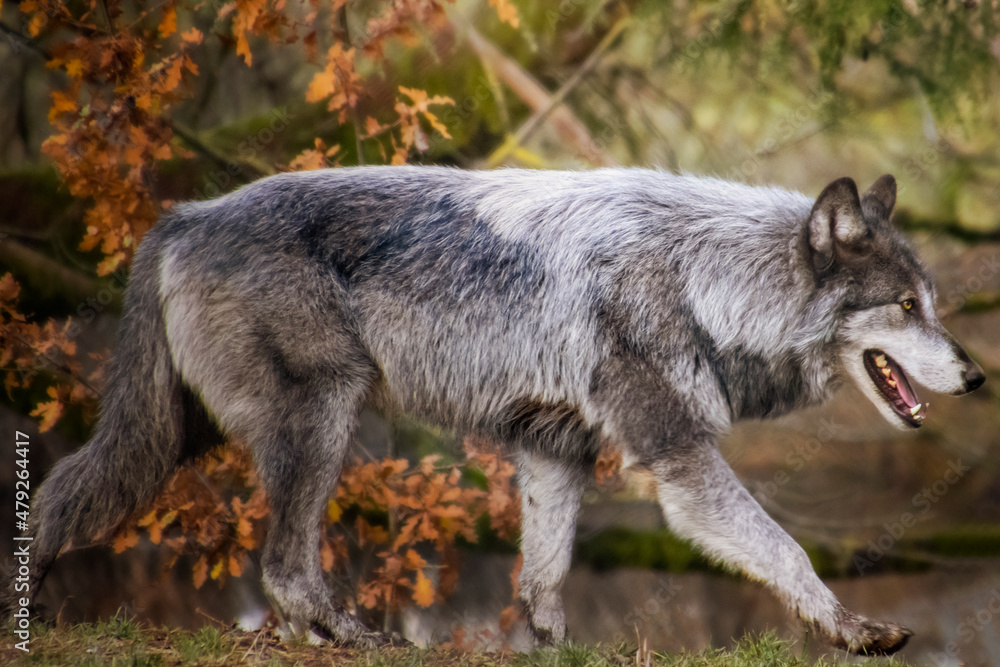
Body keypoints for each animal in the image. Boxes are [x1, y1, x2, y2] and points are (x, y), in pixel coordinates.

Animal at [5, 166, 984, 652]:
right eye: (906, 307)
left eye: (933, 303)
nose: (977, 377)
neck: (700, 276)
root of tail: (183, 214)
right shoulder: (676, 456)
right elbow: (786, 549)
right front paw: (852, 629)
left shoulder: (555, 450)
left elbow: (543, 574)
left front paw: (555, 647)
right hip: (320, 423)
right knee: (283, 567)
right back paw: (350, 636)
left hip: (172, 436)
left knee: (61, 493)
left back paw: (35, 615)